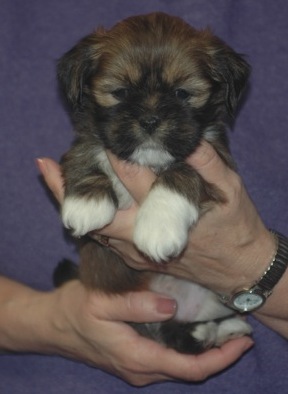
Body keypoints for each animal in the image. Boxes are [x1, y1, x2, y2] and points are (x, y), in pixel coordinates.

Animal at [58, 13, 252, 354]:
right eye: (120, 92)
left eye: (181, 94)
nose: (149, 120)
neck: (148, 161)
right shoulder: (89, 139)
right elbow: (84, 150)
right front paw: (86, 202)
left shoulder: (215, 160)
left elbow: (182, 172)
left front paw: (158, 224)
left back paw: (222, 330)